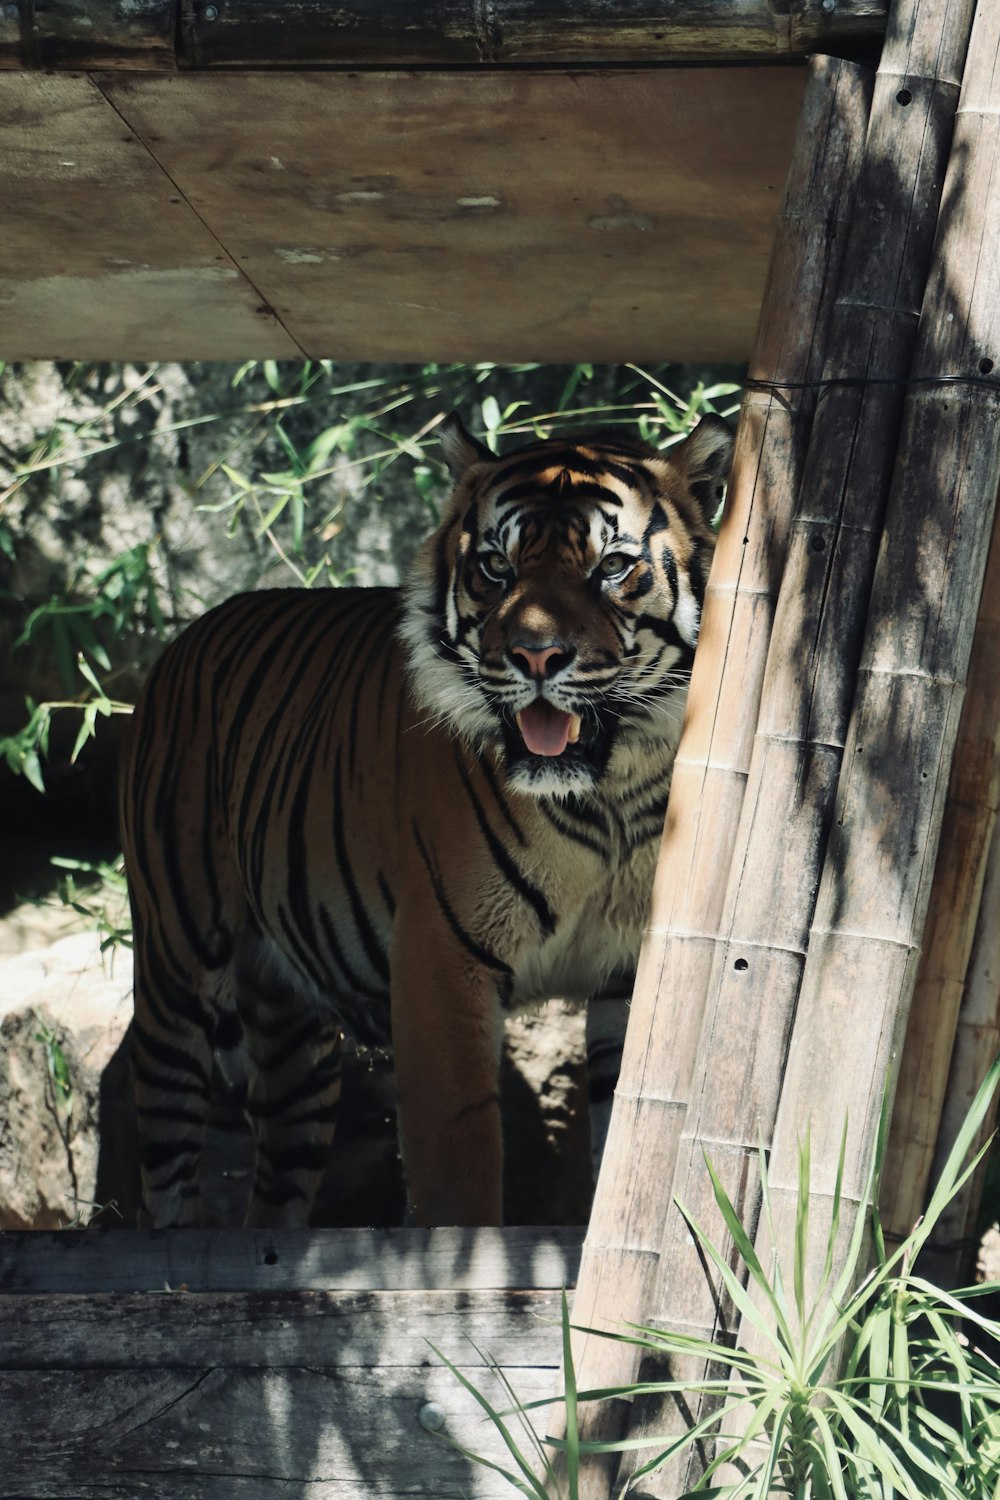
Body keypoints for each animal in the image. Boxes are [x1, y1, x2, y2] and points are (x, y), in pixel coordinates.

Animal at [122, 414, 734, 1230]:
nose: (535, 656)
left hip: (293, 1049)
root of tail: (195, 628)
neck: (612, 796)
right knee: (166, 1168)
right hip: (175, 967)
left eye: (611, 568)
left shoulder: (629, 972)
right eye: (495, 568)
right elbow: (460, 1168)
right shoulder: (443, 962)